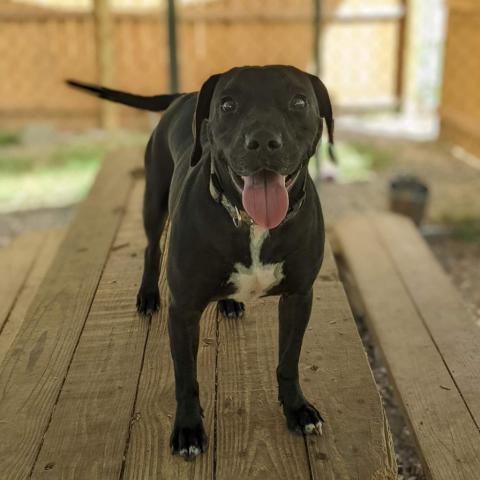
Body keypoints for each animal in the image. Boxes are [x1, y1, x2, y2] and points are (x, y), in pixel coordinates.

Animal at [67, 65, 336, 460]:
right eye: (227, 104)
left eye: (299, 101)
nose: (262, 141)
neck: (252, 224)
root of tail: (186, 96)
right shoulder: (184, 310)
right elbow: (185, 376)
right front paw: (188, 429)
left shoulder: (299, 297)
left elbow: (289, 360)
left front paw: (297, 409)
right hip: (153, 201)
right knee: (151, 248)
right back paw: (148, 295)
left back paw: (230, 303)